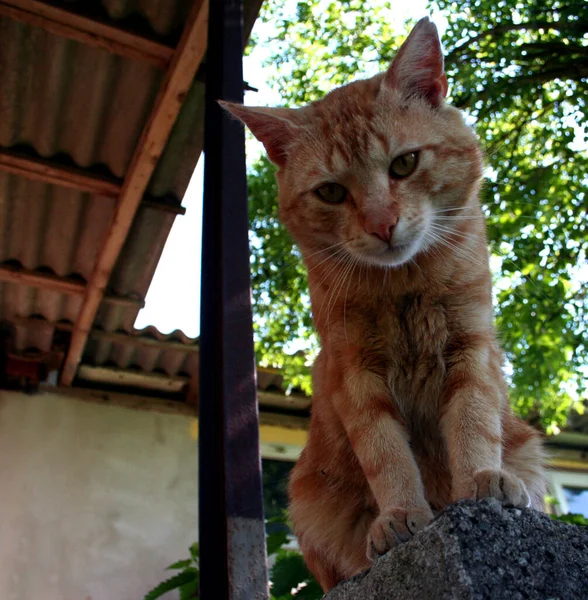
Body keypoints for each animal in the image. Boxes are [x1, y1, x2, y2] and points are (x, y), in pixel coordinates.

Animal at [222, 16, 548, 592]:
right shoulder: (357, 376)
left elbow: (473, 422)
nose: (382, 224)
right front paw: (400, 515)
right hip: (307, 502)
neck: (404, 288)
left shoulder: (471, 348)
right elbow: (387, 455)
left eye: (405, 163)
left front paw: (483, 479)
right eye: (331, 192)